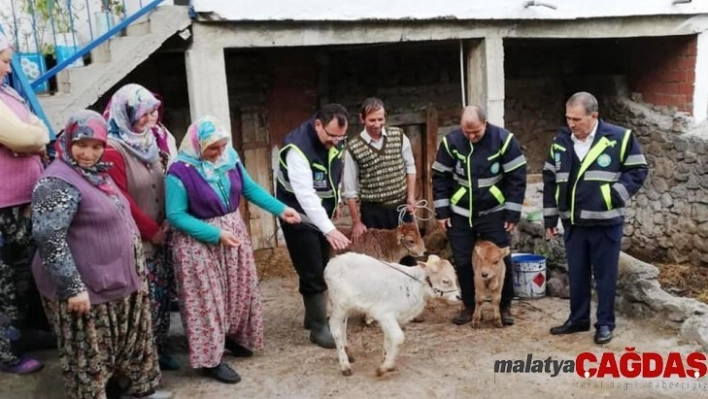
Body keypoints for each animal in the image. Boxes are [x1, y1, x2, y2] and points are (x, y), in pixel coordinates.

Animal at [324, 255, 462, 376]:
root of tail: (332, 261)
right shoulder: (385, 313)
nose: (459, 296)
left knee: (343, 325)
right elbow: (398, 337)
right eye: (445, 281)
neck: (414, 286)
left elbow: (388, 338)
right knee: (335, 328)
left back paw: (348, 353)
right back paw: (345, 365)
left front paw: (385, 359)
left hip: (347, 306)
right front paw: (385, 367)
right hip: (339, 304)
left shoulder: (394, 318)